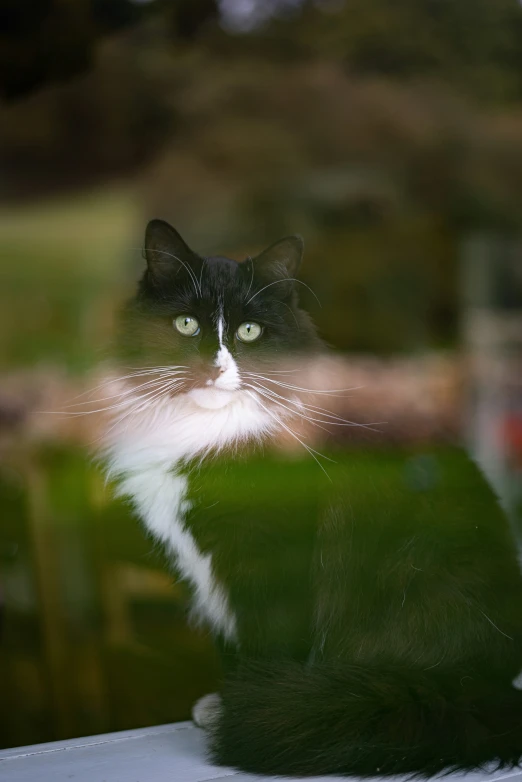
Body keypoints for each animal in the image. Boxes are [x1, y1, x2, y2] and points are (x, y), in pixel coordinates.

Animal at [99, 219, 520, 776]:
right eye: (186, 324)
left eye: (249, 331)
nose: (214, 368)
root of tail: (480, 688)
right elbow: (230, 641)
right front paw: (227, 701)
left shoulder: (274, 560)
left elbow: (268, 641)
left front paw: (248, 706)